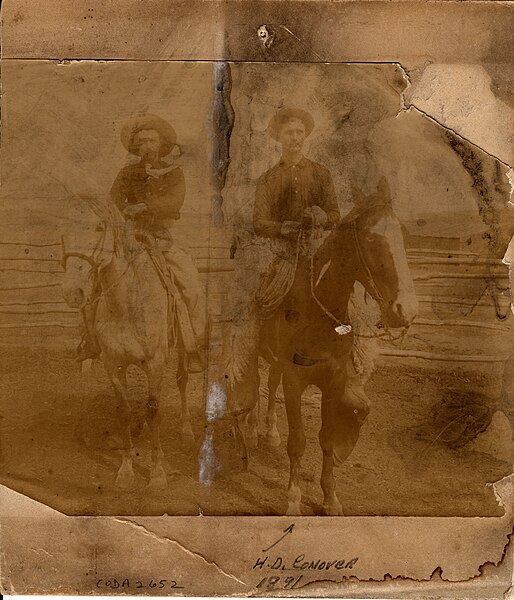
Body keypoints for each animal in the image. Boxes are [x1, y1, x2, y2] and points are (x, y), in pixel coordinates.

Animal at [61, 199, 193, 490]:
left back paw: (186, 428)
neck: (129, 304)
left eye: (99, 227)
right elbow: (124, 411)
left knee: (182, 380)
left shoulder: (155, 365)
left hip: (183, 350)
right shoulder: (113, 365)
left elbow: (154, 411)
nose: (73, 293)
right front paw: (125, 469)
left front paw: (157, 473)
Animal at [217, 183, 416, 516]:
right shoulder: (295, 381)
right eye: (371, 238)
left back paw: (269, 432)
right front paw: (293, 499)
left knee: (270, 383)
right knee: (252, 380)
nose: (406, 311)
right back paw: (250, 430)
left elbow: (327, 438)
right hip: (254, 346)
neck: (317, 313)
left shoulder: (333, 381)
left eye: (401, 233)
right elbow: (298, 442)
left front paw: (329, 498)